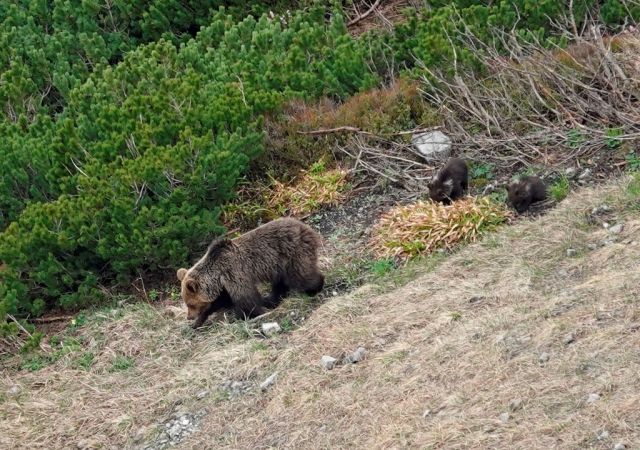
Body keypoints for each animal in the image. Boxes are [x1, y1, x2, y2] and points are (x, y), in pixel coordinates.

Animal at [176, 217, 322, 326]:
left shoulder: (234, 273)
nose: (189, 317)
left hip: (292, 253)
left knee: (301, 274)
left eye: (190, 304)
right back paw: (272, 298)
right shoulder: (224, 285)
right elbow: (220, 301)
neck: (217, 274)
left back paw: (314, 288)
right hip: (278, 265)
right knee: (280, 282)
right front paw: (198, 322)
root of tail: (306, 227)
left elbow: (245, 299)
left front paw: (248, 314)